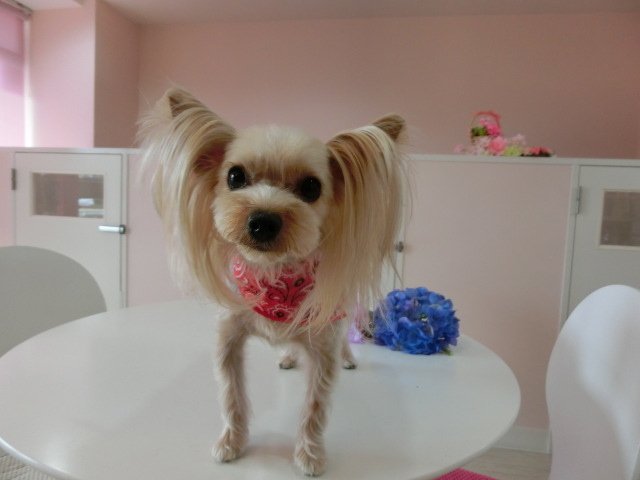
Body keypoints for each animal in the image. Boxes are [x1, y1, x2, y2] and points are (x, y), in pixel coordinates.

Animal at [140, 87, 407, 476]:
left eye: (311, 187)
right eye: (235, 176)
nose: (263, 220)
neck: (276, 281)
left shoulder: (323, 346)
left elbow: (315, 407)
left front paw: (310, 455)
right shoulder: (228, 339)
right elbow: (232, 395)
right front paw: (232, 441)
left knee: (342, 338)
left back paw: (347, 357)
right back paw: (288, 356)